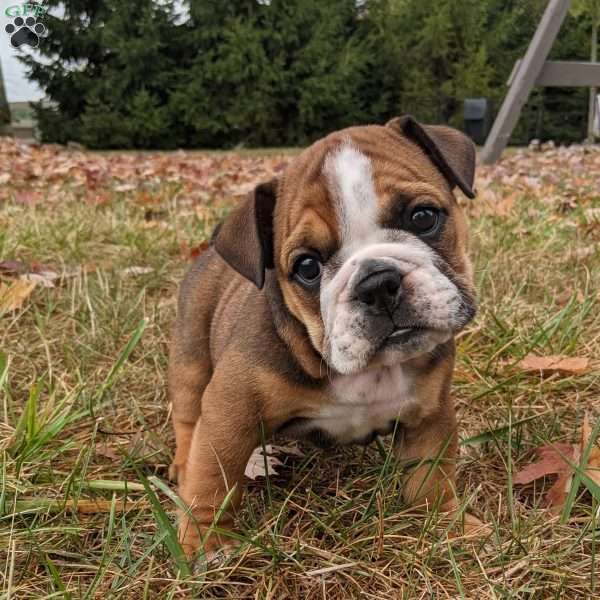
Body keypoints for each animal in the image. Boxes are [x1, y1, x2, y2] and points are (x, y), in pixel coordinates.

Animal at [166, 117, 476, 556]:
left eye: (423, 217)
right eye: (307, 267)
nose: (378, 282)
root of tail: (207, 254)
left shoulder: (430, 414)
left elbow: (431, 478)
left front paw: (448, 525)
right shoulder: (230, 411)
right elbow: (212, 478)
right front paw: (205, 545)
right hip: (191, 355)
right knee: (188, 413)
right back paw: (183, 462)